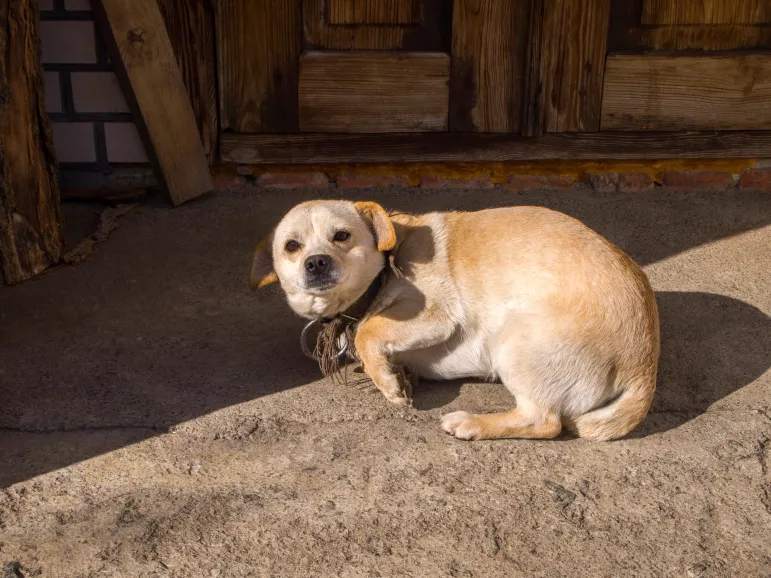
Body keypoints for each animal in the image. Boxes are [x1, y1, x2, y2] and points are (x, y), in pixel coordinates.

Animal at [250, 200, 660, 438]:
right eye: (291, 247)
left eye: (342, 236)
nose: (316, 262)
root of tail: (644, 367)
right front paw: (394, 374)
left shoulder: (436, 313)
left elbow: (369, 330)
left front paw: (386, 382)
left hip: (512, 339)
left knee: (545, 422)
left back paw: (472, 424)